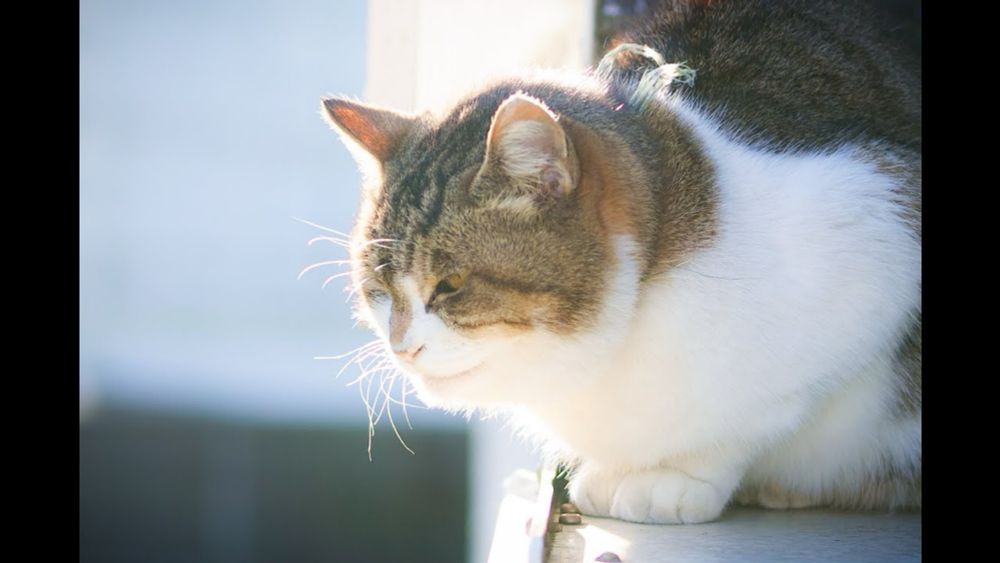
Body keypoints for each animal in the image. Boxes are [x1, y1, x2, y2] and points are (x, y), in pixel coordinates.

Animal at [320, 0, 920, 524]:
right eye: (379, 287)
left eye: (451, 284)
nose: (401, 347)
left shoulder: (879, 245)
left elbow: (754, 417)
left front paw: (677, 476)